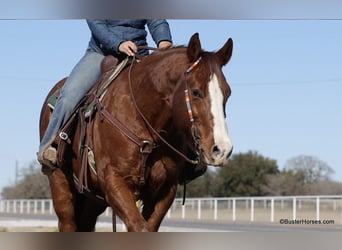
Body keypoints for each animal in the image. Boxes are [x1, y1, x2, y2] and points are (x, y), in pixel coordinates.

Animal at [38, 32, 234, 231]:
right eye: (195, 92)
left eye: (228, 93)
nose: (222, 149)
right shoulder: (115, 181)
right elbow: (139, 226)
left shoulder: (165, 190)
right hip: (60, 183)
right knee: (67, 221)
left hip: (93, 199)